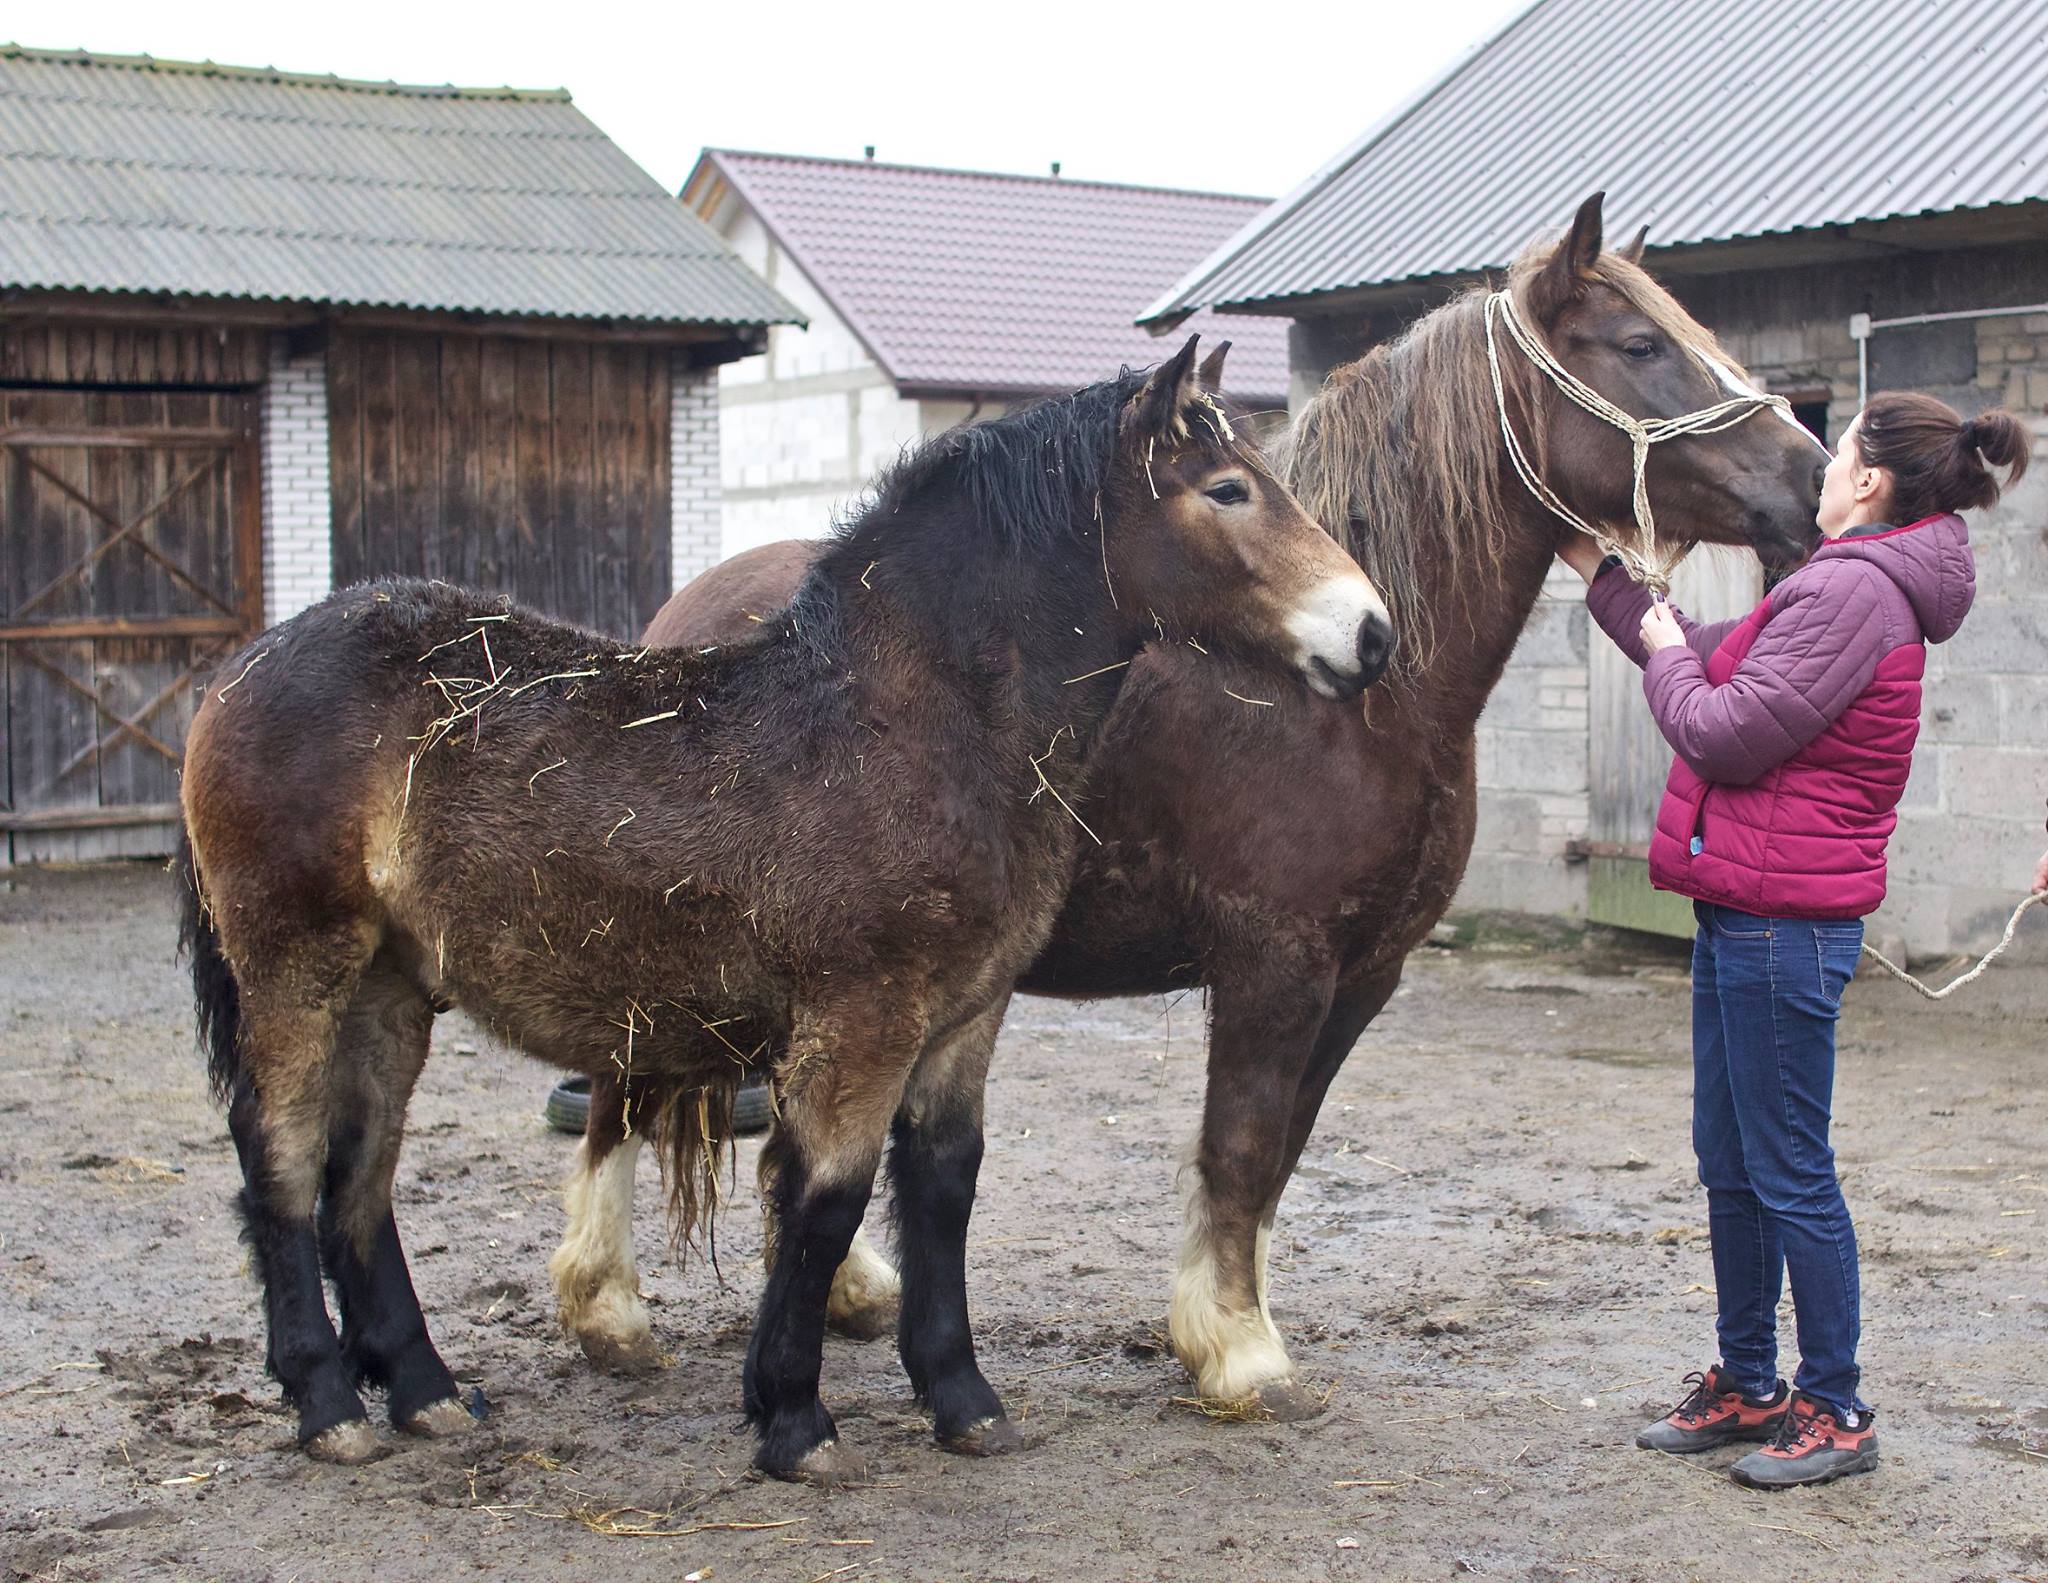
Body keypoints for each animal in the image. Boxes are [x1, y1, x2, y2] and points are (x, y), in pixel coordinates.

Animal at [174, 334, 1394, 1481]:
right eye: (1226, 489)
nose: (1373, 634)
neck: (907, 721)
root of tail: (241, 668)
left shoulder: (967, 1011)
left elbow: (941, 1185)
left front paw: (963, 1401)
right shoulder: (860, 1018)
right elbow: (826, 1197)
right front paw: (795, 1420)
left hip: (391, 984)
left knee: (361, 1167)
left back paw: (425, 1389)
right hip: (294, 964)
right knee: (281, 1154)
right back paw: (328, 1403)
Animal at [552, 194, 1827, 1419]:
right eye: (1639, 344)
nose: (1813, 475)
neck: (1358, 700)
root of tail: (683, 621)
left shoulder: (1361, 974)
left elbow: (1275, 1158)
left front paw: (1217, 1322)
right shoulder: (1274, 960)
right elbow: (1241, 1145)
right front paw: (1238, 1353)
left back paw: (847, 1290)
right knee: (621, 1095)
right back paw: (607, 1305)